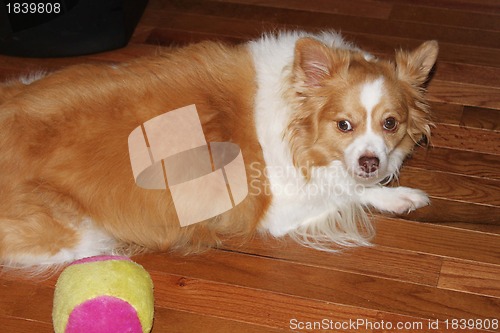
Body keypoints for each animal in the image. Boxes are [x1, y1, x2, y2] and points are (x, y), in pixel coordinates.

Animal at [0, 31, 438, 270]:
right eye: (343, 125)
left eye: (390, 123)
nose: (370, 162)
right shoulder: (281, 207)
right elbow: (349, 191)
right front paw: (396, 195)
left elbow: (356, 185)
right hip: (80, 237)